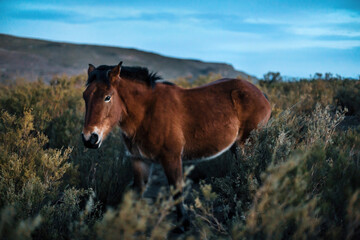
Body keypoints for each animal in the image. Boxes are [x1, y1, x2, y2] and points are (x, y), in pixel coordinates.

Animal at [81, 61, 272, 230]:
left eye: (107, 97)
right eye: (85, 96)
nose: (89, 138)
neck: (147, 112)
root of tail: (261, 94)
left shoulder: (171, 158)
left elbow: (176, 190)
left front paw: (183, 224)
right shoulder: (139, 161)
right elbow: (137, 193)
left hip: (246, 146)